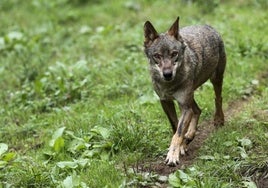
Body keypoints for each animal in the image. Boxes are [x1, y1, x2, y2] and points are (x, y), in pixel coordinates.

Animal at [144, 16, 226, 165]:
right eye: (157, 56)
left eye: (174, 54)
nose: (167, 74)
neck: (170, 85)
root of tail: (206, 26)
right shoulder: (166, 102)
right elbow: (175, 127)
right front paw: (182, 146)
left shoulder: (184, 107)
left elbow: (178, 132)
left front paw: (173, 155)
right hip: (190, 96)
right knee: (198, 110)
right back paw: (190, 136)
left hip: (215, 79)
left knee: (218, 98)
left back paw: (218, 120)